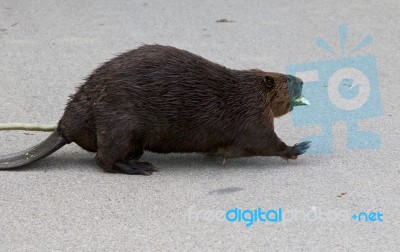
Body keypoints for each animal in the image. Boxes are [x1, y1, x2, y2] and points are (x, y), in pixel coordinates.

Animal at [0, 44, 310, 175]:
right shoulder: (252, 119)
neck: (246, 92)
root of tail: (63, 128)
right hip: (119, 124)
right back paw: (142, 167)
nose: (303, 81)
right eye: (289, 80)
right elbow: (264, 143)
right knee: (103, 160)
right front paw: (298, 147)